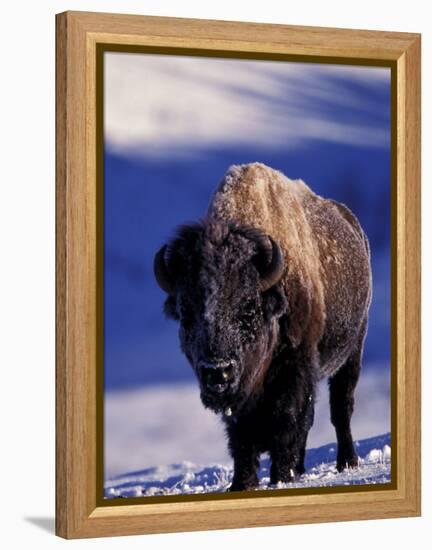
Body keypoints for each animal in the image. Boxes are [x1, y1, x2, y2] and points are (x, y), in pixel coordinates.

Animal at [154, 163, 372, 492]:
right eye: (185, 314)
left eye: (248, 309)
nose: (217, 372)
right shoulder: (241, 399)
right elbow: (242, 436)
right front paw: (242, 484)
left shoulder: (295, 368)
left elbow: (288, 420)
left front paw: (281, 476)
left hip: (352, 352)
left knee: (340, 408)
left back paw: (346, 462)